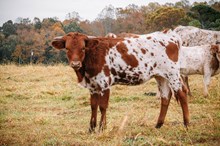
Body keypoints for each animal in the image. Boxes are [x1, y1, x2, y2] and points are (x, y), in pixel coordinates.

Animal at [51, 31, 189, 132]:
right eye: (67, 48)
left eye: (83, 48)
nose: (75, 64)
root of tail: (169, 34)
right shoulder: (93, 86)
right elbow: (93, 106)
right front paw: (91, 128)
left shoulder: (104, 84)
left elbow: (102, 106)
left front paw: (102, 128)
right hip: (161, 76)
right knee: (165, 97)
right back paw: (158, 125)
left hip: (173, 74)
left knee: (182, 93)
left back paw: (186, 124)